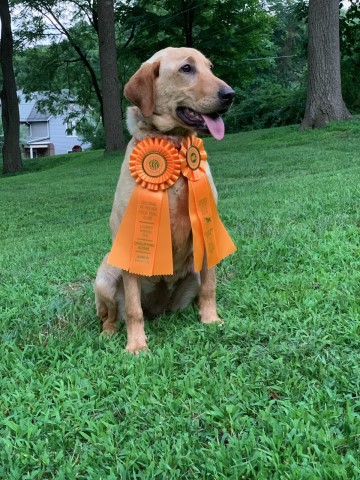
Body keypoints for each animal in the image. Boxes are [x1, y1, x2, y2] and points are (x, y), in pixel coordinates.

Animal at [95, 47, 235, 352]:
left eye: (209, 67)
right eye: (186, 69)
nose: (230, 94)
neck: (174, 147)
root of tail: (159, 309)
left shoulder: (206, 231)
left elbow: (210, 287)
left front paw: (211, 320)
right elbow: (133, 309)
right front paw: (136, 346)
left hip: (193, 271)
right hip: (105, 276)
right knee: (111, 316)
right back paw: (109, 333)